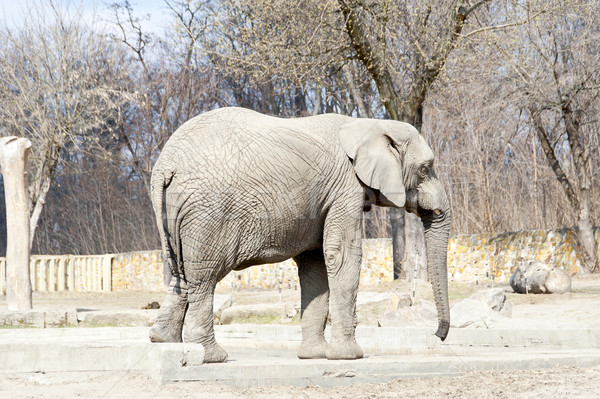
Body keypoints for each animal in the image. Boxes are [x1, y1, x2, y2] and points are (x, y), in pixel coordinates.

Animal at [149, 108, 450, 364]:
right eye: (425, 169)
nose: (436, 336)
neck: (368, 124)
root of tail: (165, 166)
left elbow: (316, 263)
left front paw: (314, 356)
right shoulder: (345, 189)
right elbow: (341, 254)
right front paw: (349, 356)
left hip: (178, 213)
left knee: (183, 272)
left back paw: (164, 341)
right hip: (209, 214)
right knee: (205, 275)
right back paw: (212, 356)